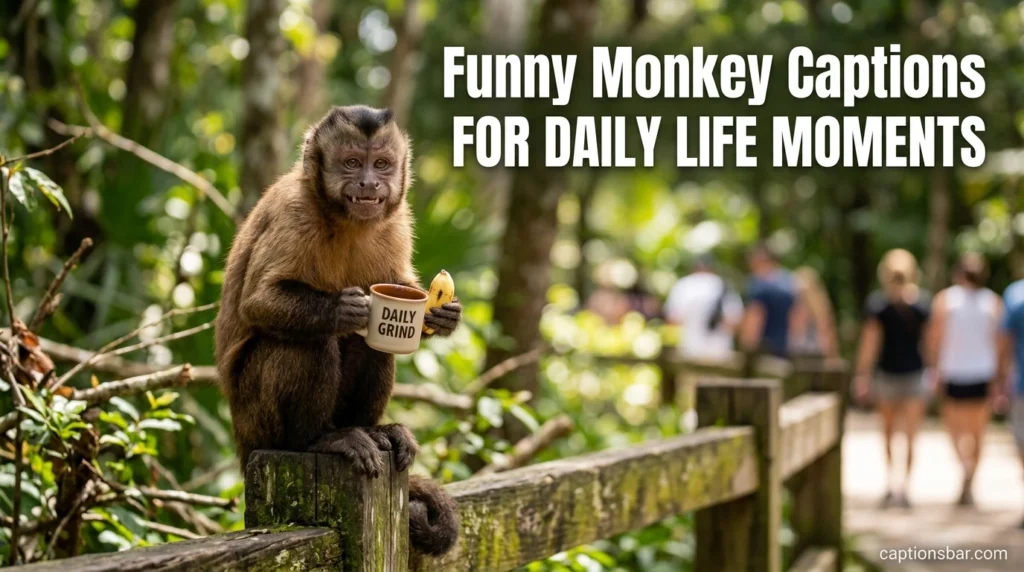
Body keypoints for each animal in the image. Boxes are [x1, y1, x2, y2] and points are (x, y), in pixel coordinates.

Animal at [215, 105, 462, 556]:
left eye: (380, 164)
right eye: (350, 163)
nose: (368, 183)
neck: (345, 220)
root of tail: (243, 440)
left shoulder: (398, 221)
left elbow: (400, 285)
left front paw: (443, 316)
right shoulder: (293, 213)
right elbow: (258, 302)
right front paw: (343, 309)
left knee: (373, 347)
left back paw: (373, 430)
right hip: (256, 419)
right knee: (308, 346)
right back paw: (317, 440)